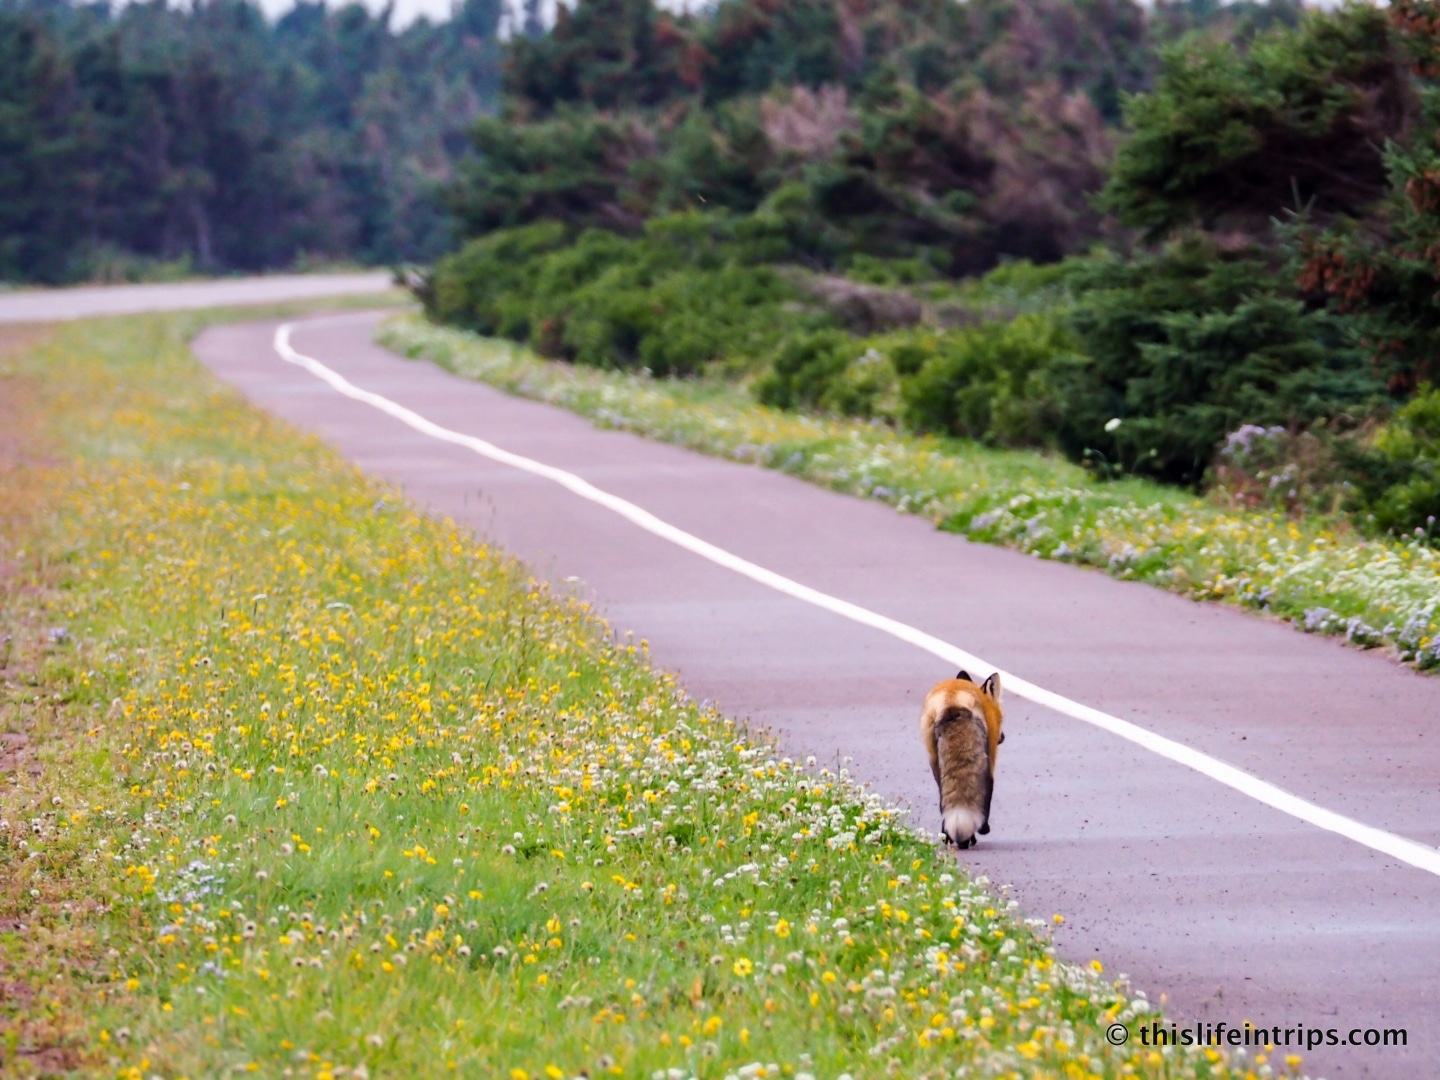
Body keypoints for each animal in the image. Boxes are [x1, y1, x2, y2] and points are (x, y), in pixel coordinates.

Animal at [919, 669, 1004, 848]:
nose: (1002, 737)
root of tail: (952, 700)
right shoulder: (991, 756)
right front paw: (983, 830)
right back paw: (968, 839)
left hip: (935, 761)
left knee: (943, 800)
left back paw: (948, 837)